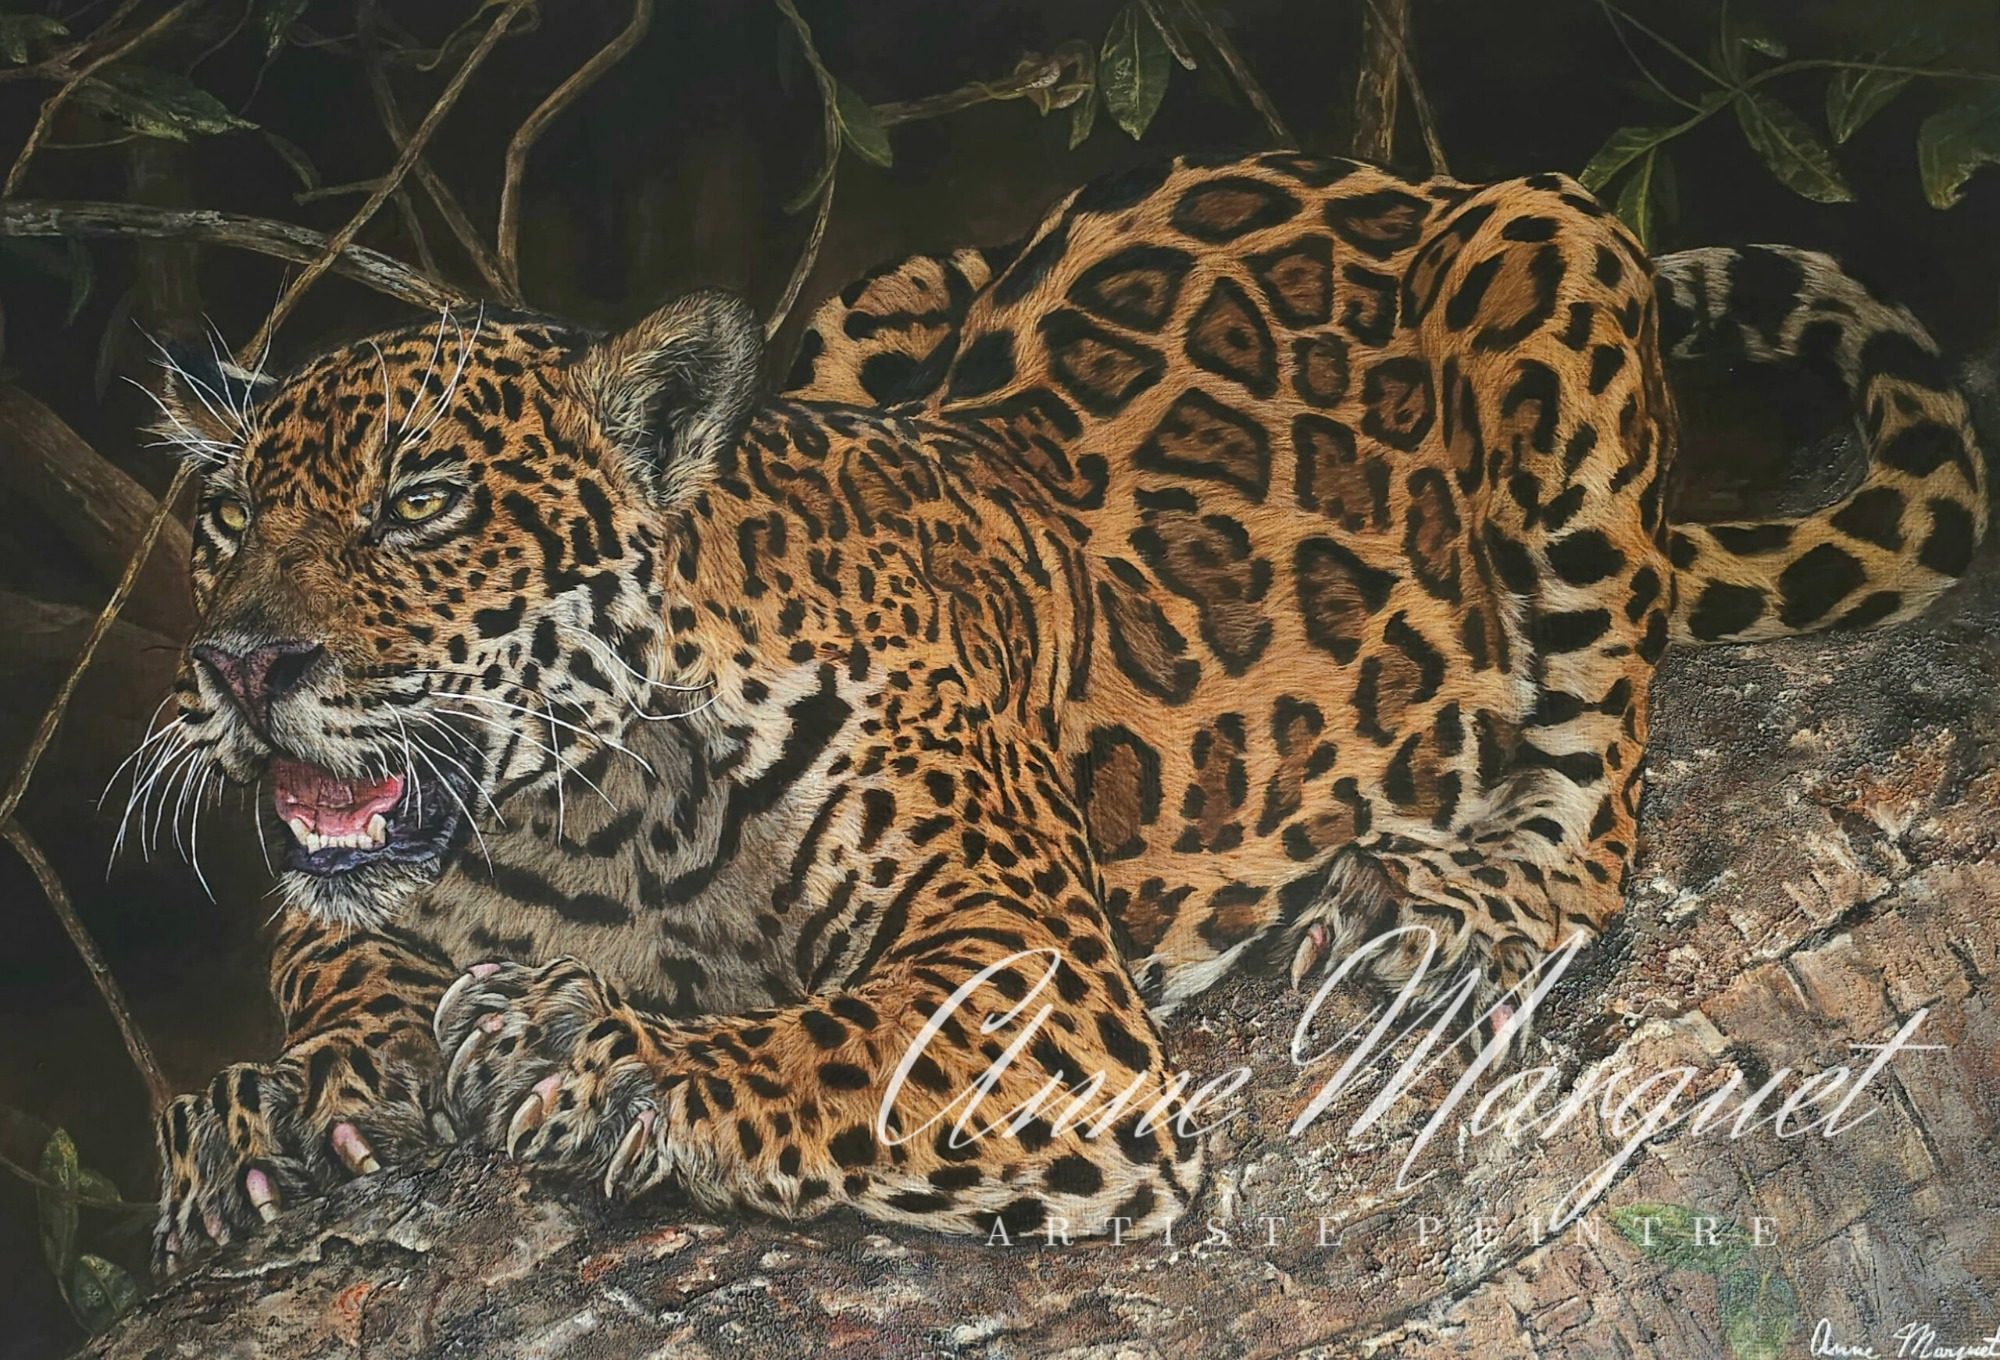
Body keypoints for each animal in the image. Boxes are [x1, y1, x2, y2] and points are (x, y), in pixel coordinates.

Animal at [135, 150, 1987, 1270]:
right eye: (226, 516)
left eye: (421, 505)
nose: (237, 667)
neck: (589, 828)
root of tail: (1394, 177)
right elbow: (325, 944)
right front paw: (280, 1102)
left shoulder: (1038, 994)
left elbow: (827, 1049)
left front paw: (586, 1055)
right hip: (891, 296)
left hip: (1556, 273)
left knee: (1606, 790)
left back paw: (1455, 903)